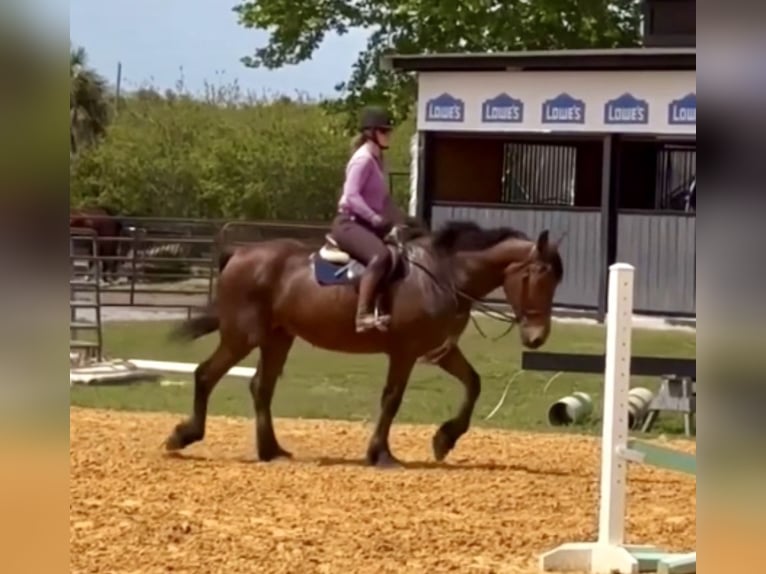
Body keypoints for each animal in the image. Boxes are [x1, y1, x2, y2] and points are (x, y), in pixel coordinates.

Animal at [165, 220, 568, 468]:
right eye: (538, 276)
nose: (537, 337)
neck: (443, 275)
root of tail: (239, 254)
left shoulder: (438, 350)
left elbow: (474, 383)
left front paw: (445, 439)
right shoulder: (405, 352)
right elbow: (392, 400)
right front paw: (382, 454)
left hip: (278, 338)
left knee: (260, 388)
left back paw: (271, 451)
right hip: (241, 337)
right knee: (206, 375)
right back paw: (184, 436)